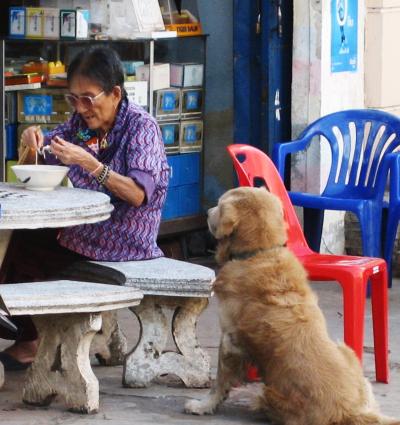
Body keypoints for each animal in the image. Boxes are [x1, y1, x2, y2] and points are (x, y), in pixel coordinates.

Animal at [186, 188, 398, 424]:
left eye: (220, 204)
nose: (206, 212)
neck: (261, 252)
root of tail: (349, 411)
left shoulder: (229, 338)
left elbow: (219, 381)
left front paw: (204, 405)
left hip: (270, 393)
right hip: (346, 352)